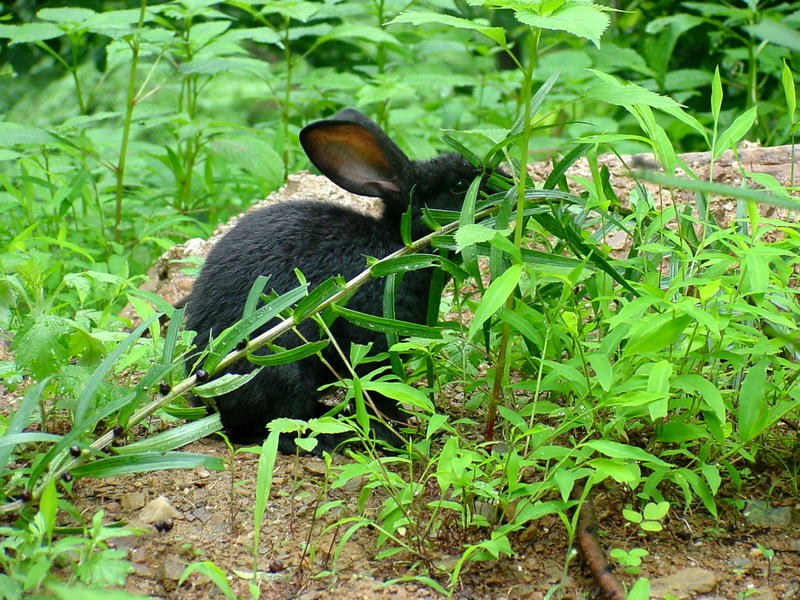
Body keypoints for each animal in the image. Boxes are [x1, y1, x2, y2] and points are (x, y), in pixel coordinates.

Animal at [185, 109, 490, 454]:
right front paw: (395, 437)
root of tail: (206, 396)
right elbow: (380, 393)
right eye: (460, 185)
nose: (507, 181)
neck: (398, 245)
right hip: (283, 368)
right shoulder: (373, 342)